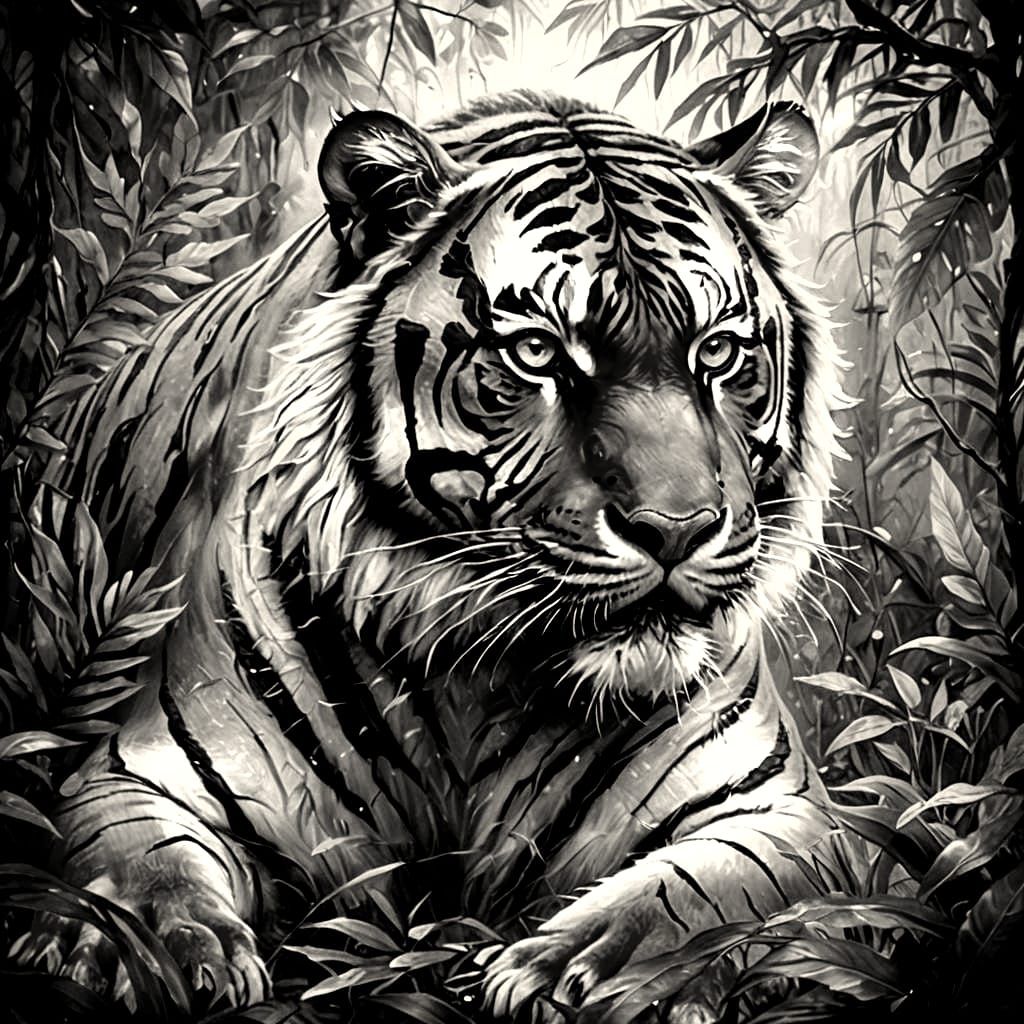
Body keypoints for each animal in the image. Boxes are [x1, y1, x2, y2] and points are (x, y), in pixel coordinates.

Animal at [12, 90, 845, 1021]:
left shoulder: (781, 808)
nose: (676, 528)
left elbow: (686, 896)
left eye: (718, 352)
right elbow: (140, 876)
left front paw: (573, 974)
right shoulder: (138, 773)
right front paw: (156, 955)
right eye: (536, 353)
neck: (483, 683)